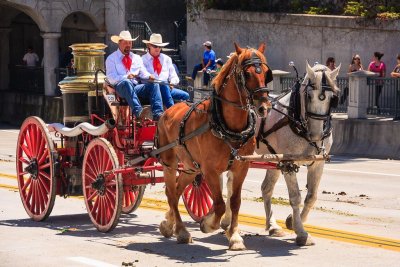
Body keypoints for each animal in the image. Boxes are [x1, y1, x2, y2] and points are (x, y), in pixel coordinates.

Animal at [158, 43, 270, 250]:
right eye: (247, 73)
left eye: (266, 73)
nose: (263, 107)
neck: (227, 125)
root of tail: (167, 111)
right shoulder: (210, 170)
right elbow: (219, 205)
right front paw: (208, 224)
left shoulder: (241, 167)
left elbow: (234, 202)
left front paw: (234, 236)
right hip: (169, 163)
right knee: (171, 193)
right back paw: (181, 231)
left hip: (190, 168)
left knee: (177, 190)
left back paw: (170, 225)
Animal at [256, 62, 340, 247]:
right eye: (309, 96)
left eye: (333, 98)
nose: (316, 134)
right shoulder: (288, 163)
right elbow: (295, 197)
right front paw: (301, 233)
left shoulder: (318, 163)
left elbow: (311, 197)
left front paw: (291, 222)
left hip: (273, 159)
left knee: (266, 188)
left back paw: (273, 226)